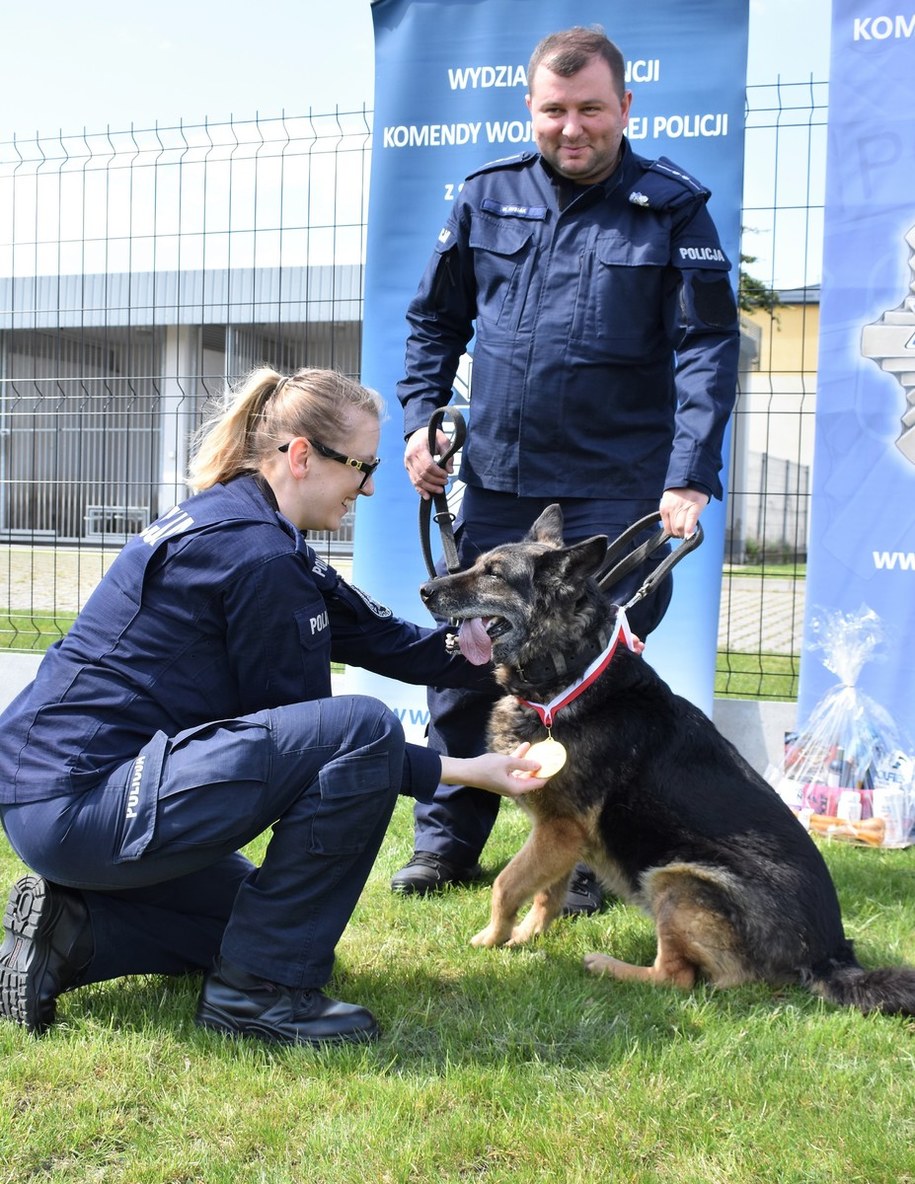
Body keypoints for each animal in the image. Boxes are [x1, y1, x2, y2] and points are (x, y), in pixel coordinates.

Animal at [419, 504, 913, 1013]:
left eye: (493, 574)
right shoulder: (559, 835)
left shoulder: (560, 829)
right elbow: (545, 894)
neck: (568, 674)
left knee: (679, 978)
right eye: (478, 563)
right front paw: (523, 938)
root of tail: (832, 954)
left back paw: (608, 967)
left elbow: (506, 884)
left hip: (675, 879)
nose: (425, 590)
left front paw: (490, 939)